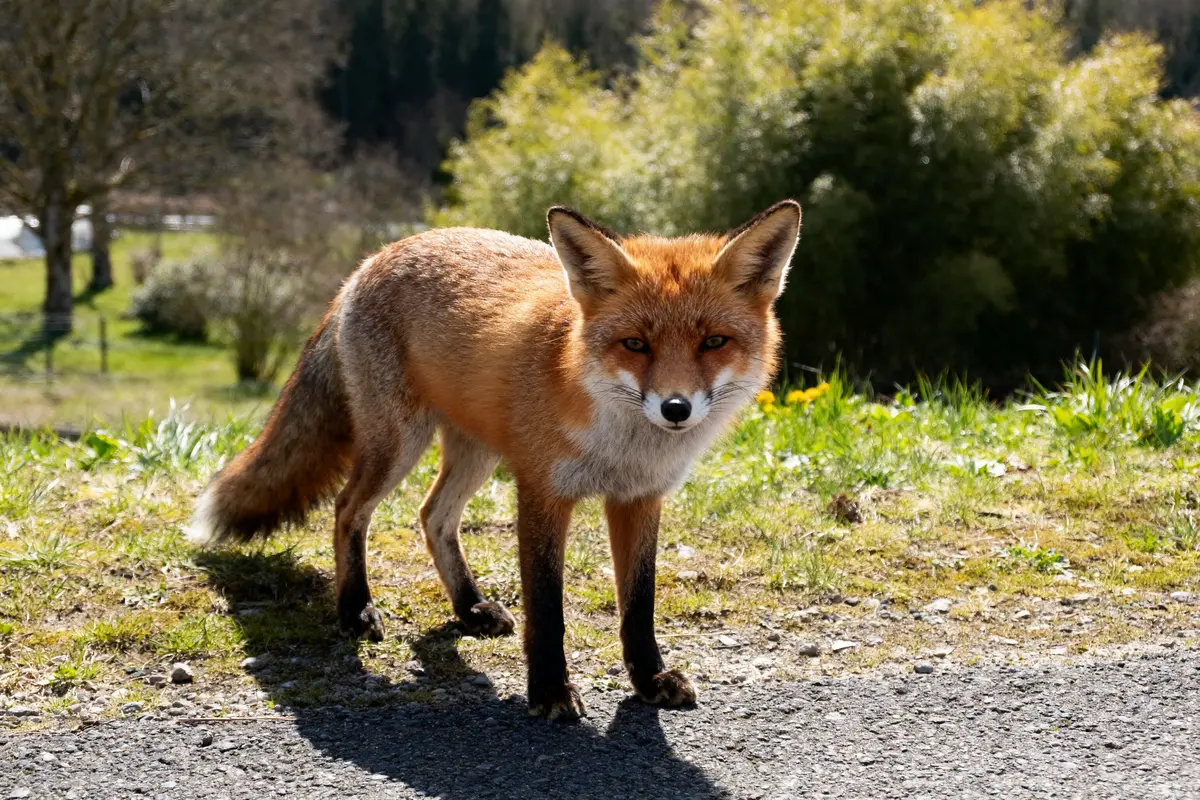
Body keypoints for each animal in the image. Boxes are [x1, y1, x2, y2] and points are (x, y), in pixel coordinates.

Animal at [188, 200, 801, 720]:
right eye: (635, 344)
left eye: (713, 342)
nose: (676, 408)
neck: (621, 444)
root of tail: (375, 257)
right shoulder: (541, 491)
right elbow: (548, 612)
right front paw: (550, 691)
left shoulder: (638, 498)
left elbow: (638, 606)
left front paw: (648, 680)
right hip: (399, 445)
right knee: (347, 510)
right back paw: (355, 608)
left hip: (475, 453)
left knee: (432, 516)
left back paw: (469, 606)